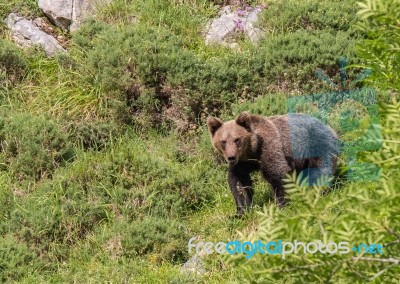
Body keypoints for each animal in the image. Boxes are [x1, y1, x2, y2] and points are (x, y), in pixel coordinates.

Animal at [208, 111, 340, 215]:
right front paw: (241, 210)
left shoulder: (269, 148)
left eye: (237, 139)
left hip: (317, 144)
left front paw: (281, 206)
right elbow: (238, 182)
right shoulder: (243, 163)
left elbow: (278, 174)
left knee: (320, 170)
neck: (253, 151)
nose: (231, 157)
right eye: (223, 141)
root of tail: (330, 127)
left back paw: (316, 192)